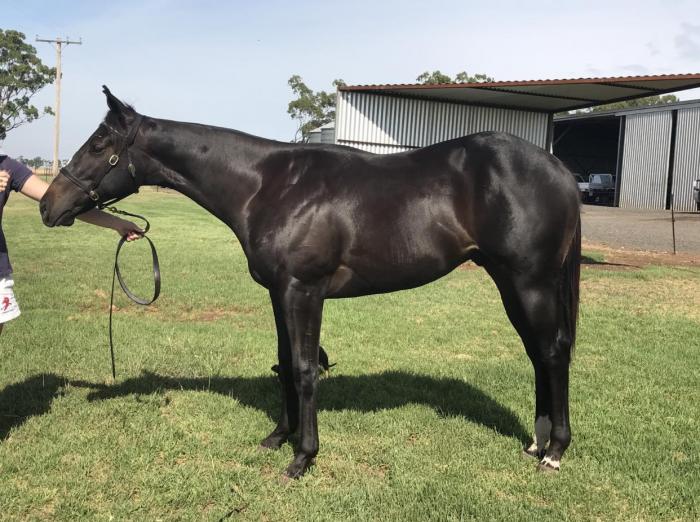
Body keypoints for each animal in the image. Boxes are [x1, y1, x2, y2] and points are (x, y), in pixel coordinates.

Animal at [40, 86, 581, 478]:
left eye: (100, 145)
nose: (48, 205)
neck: (269, 185)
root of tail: (558, 167)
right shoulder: (279, 293)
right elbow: (284, 364)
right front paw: (278, 437)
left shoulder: (303, 290)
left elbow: (303, 369)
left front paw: (302, 457)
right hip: (512, 283)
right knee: (539, 354)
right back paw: (535, 443)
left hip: (528, 282)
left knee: (552, 353)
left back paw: (555, 450)